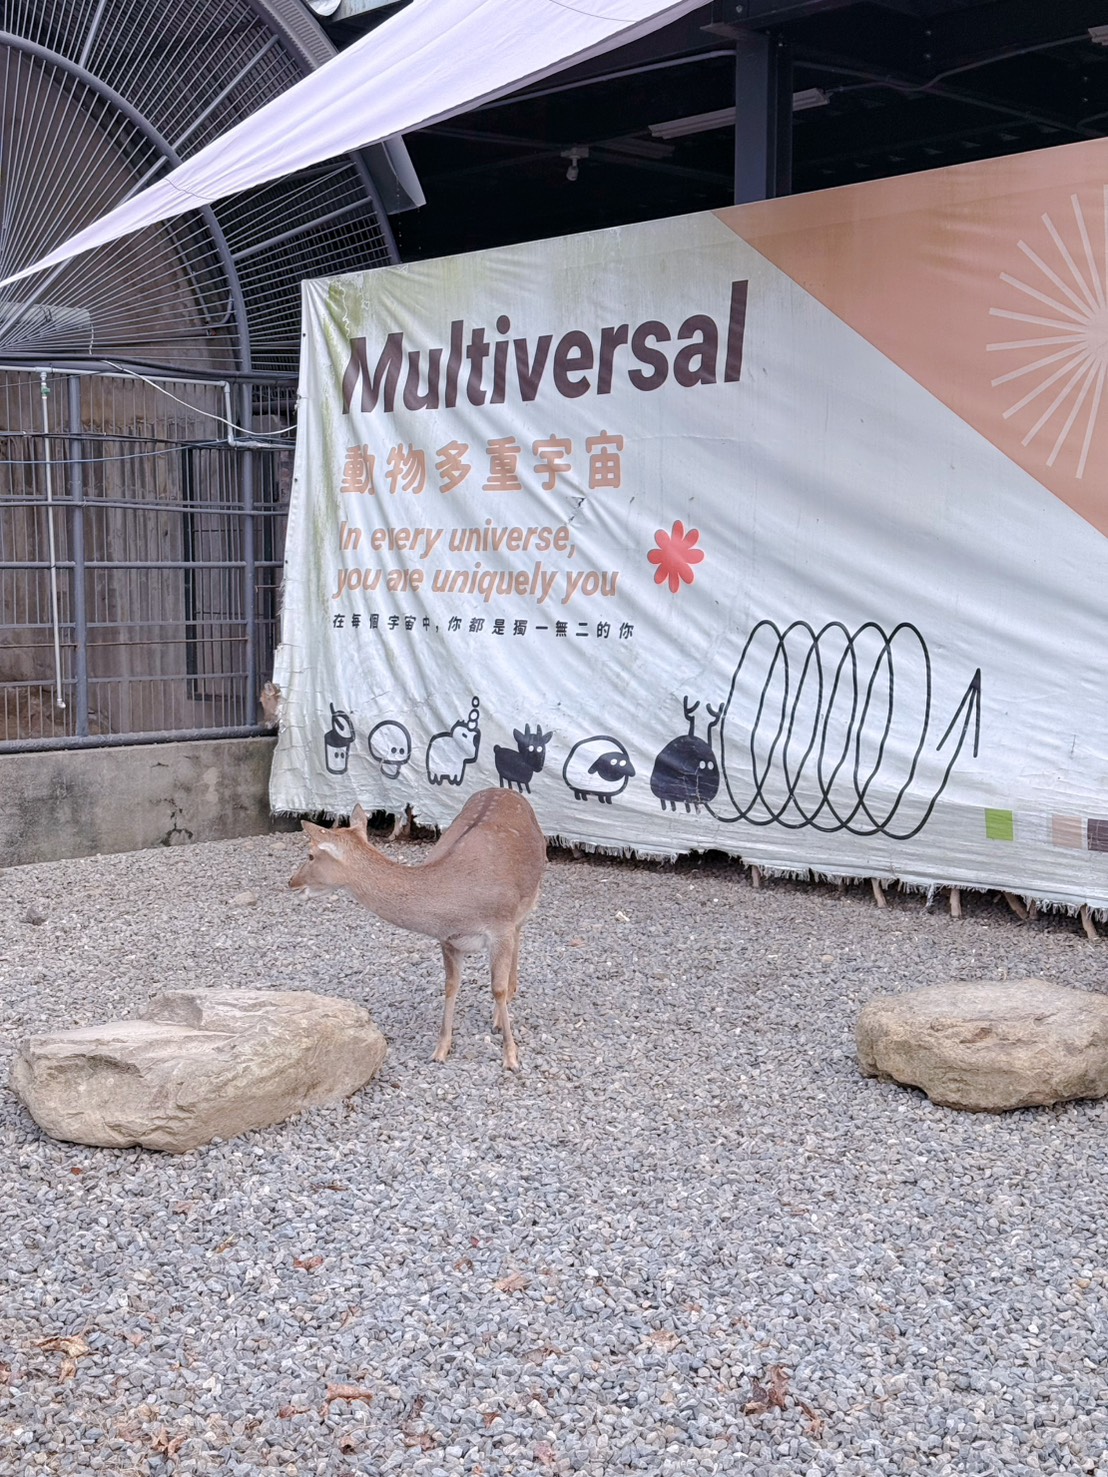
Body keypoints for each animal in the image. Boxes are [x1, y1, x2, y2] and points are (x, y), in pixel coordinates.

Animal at [288, 788, 546, 1070]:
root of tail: (505, 790)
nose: (291, 882)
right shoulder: (448, 940)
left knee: (519, 935)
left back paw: (505, 1007)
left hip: (530, 895)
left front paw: (510, 1056)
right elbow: (450, 985)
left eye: (310, 855)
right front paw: (440, 1050)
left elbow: (496, 989)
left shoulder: (499, 927)